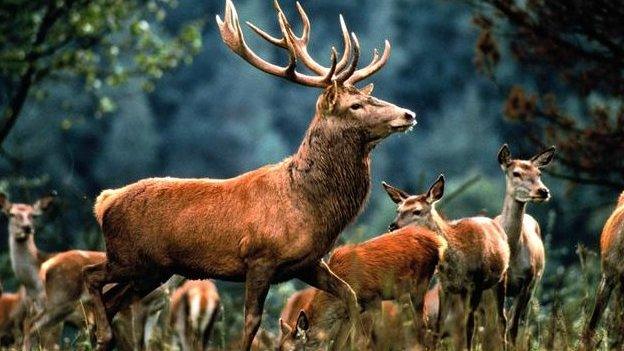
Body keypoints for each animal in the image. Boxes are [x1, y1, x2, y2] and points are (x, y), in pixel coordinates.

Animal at [81, 0, 414, 351]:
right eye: (355, 105)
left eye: (369, 97)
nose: (408, 114)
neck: (309, 205)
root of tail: (104, 201)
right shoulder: (259, 258)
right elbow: (251, 323)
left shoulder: (309, 262)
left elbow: (350, 296)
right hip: (127, 256)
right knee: (91, 276)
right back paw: (101, 332)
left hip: (152, 270)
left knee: (113, 301)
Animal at [278, 224, 444, 350]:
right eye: (278, 348)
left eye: (291, 350)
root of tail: (437, 240)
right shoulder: (349, 314)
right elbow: (338, 345)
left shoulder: (373, 298)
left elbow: (371, 338)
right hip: (403, 294)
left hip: (421, 282)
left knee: (423, 324)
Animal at [382, 177, 510, 350]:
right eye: (398, 210)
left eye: (417, 211)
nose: (392, 226)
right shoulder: (445, 287)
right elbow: (439, 325)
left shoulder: (475, 284)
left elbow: (469, 325)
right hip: (464, 292)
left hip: (501, 277)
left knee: (500, 319)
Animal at [498, 144, 556, 346]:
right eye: (516, 173)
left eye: (539, 173)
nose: (543, 191)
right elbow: (501, 323)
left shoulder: (527, 281)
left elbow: (513, 326)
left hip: (533, 287)